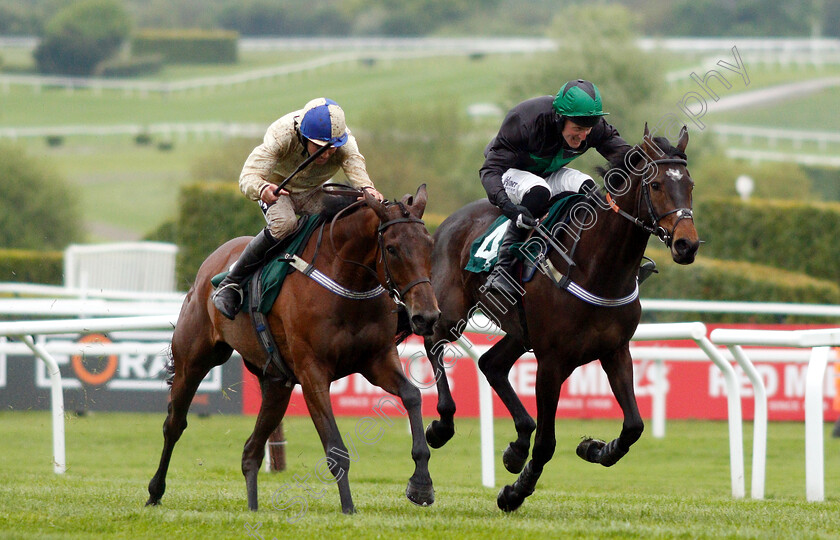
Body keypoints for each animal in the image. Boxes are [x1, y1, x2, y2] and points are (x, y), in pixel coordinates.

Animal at [146, 186, 440, 516]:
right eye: (391, 249)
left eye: (429, 246)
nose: (426, 316)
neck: (347, 282)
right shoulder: (312, 373)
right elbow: (336, 448)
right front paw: (349, 510)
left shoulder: (376, 361)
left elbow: (412, 396)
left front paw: (421, 485)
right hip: (193, 361)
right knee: (174, 424)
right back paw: (155, 492)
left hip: (277, 385)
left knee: (251, 451)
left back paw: (252, 507)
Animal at [420, 125, 704, 510]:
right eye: (657, 184)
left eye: (690, 184)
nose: (686, 245)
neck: (596, 269)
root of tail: (447, 221)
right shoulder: (552, 361)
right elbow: (546, 444)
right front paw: (515, 492)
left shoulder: (615, 351)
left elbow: (634, 426)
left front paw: (595, 448)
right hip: (453, 311)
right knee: (434, 342)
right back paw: (442, 425)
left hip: (520, 332)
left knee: (491, 364)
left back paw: (516, 445)